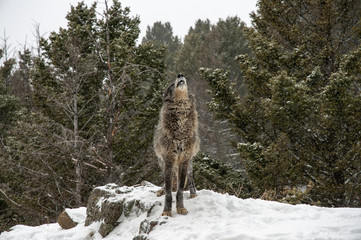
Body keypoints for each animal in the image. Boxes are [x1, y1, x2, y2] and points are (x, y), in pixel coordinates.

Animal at [153, 74, 200, 217]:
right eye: (171, 86)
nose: (180, 75)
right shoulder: (168, 159)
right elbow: (169, 191)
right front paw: (166, 211)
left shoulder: (184, 159)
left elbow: (179, 190)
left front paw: (180, 208)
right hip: (162, 162)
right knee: (168, 180)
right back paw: (161, 190)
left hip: (189, 161)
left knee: (190, 178)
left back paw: (193, 193)